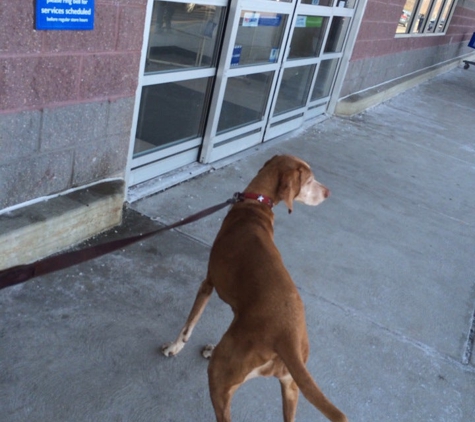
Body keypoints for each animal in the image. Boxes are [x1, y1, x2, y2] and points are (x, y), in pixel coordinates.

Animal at [162, 156, 348, 422]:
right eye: (310, 180)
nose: (328, 192)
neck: (255, 204)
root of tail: (289, 338)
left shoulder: (207, 283)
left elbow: (189, 324)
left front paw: (174, 347)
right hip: (291, 387)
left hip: (220, 374)